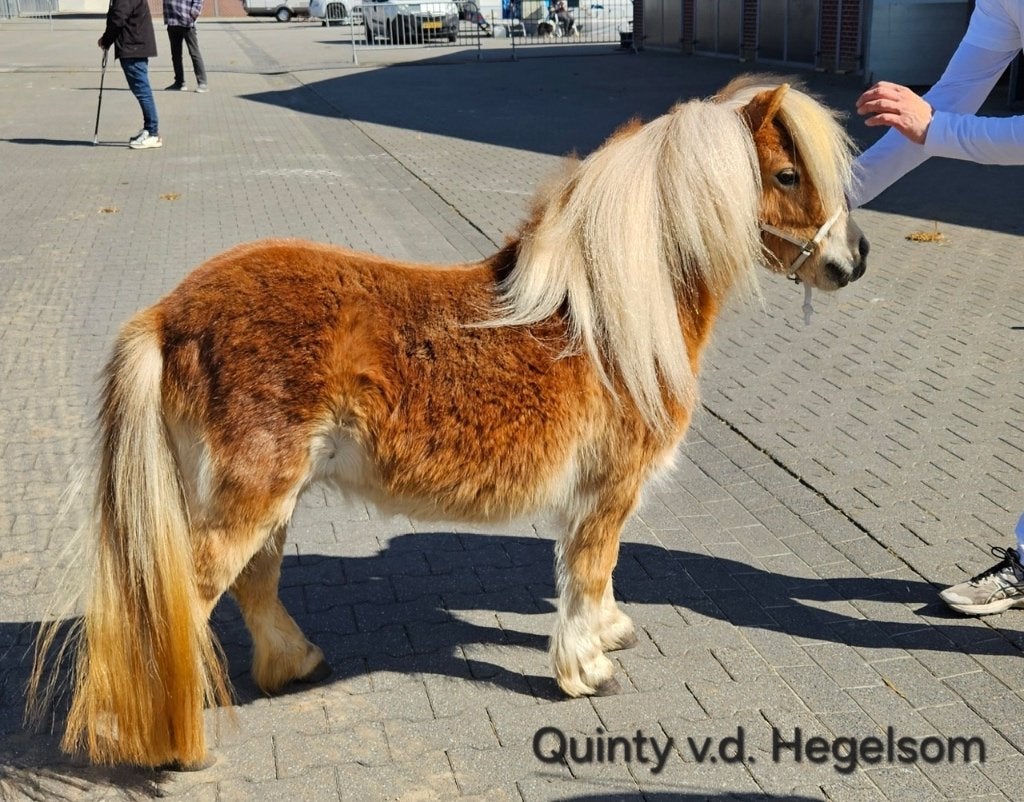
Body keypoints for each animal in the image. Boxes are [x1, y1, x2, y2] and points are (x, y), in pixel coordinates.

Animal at [28, 75, 868, 769]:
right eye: (787, 176)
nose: (854, 261)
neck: (608, 317)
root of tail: (168, 315)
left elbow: (597, 577)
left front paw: (606, 632)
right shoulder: (609, 489)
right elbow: (590, 568)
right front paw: (586, 669)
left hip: (265, 497)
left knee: (253, 584)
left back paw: (293, 665)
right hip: (249, 495)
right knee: (177, 603)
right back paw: (149, 738)